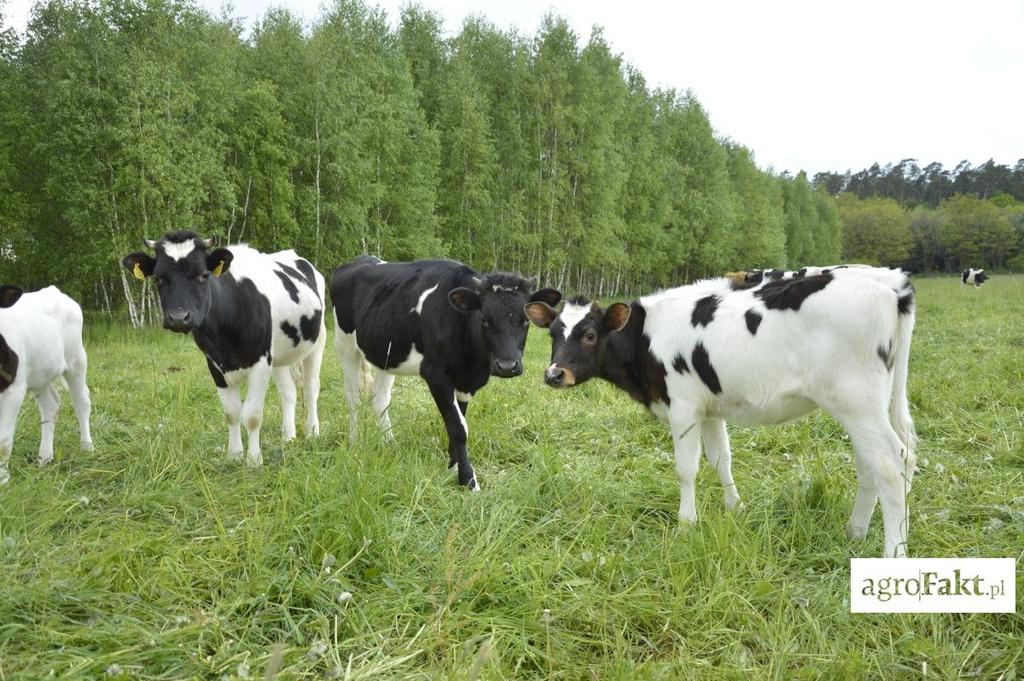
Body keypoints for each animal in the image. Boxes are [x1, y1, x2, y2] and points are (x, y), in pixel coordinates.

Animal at [0, 282, 93, 483]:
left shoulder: (14, 388)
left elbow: (3, 440)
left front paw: (2, 479)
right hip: (40, 374)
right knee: (50, 404)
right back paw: (45, 457)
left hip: (76, 359)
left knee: (82, 402)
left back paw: (87, 446)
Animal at [121, 231, 325, 464]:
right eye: (157, 278)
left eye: (203, 274)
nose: (179, 318)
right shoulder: (215, 364)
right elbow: (232, 412)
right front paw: (234, 455)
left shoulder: (261, 361)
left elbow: (252, 415)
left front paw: (254, 460)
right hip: (281, 354)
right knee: (288, 392)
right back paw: (288, 436)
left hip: (318, 341)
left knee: (311, 388)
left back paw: (312, 432)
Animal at [331, 254, 561, 489]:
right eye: (484, 319)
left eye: (526, 320)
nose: (507, 366)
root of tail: (362, 259)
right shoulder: (436, 375)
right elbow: (458, 427)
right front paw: (468, 479)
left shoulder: (465, 380)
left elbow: (459, 421)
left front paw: (453, 466)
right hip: (345, 345)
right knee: (353, 398)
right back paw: (354, 443)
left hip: (385, 353)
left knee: (380, 400)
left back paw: (389, 443)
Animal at [532, 266, 917, 557]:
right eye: (553, 333)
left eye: (590, 335)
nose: (554, 374)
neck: (647, 336)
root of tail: (890, 286)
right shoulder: (710, 409)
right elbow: (721, 459)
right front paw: (735, 507)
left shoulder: (683, 406)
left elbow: (686, 469)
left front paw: (687, 523)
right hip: (866, 405)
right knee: (875, 463)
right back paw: (855, 531)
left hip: (856, 400)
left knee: (890, 463)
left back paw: (893, 552)